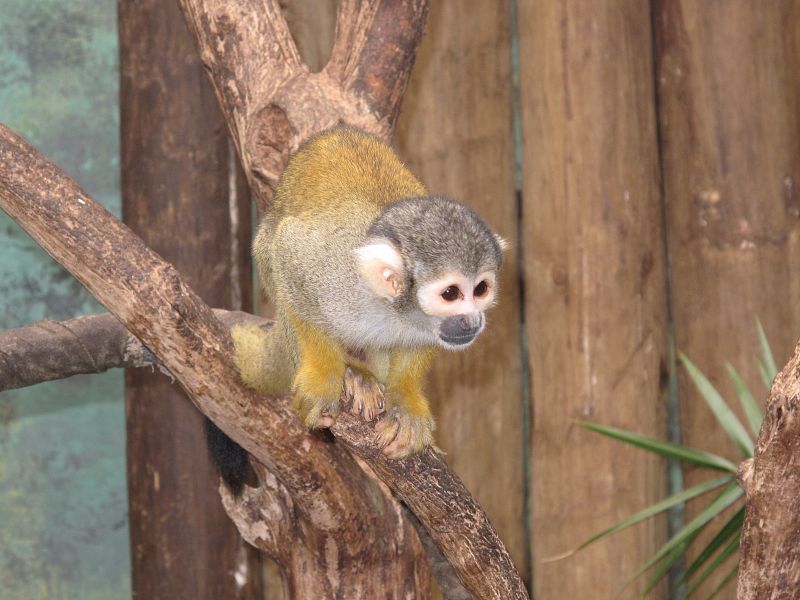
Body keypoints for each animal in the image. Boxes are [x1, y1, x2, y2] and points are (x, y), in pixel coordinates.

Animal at [211, 126, 504, 492]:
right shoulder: (334, 276)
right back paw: (353, 372)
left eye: (481, 289)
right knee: (274, 251)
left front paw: (405, 399)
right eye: (451, 293)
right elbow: (290, 257)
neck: (393, 308)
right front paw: (325, 374)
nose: (473, 321)